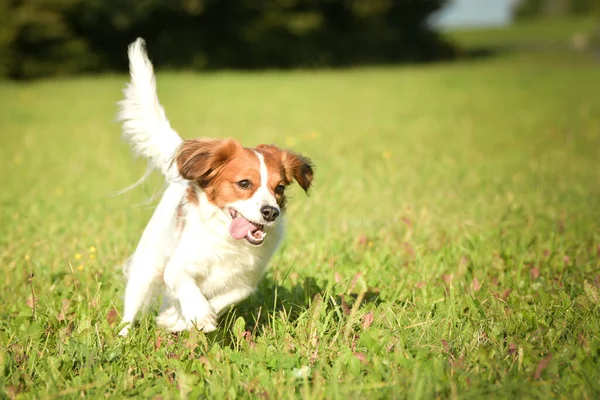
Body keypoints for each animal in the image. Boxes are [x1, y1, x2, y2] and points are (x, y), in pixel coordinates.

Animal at [116, 39, 314, 336]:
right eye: (244, 183)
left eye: (279, 188)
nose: (270, 212)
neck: (229, 240)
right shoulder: (178, 266)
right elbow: (186, 286)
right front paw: (196, 313)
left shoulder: (245, 281)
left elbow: (224, 298)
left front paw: (184, 319)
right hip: (147, 267)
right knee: (131, 309)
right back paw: (123, 336)